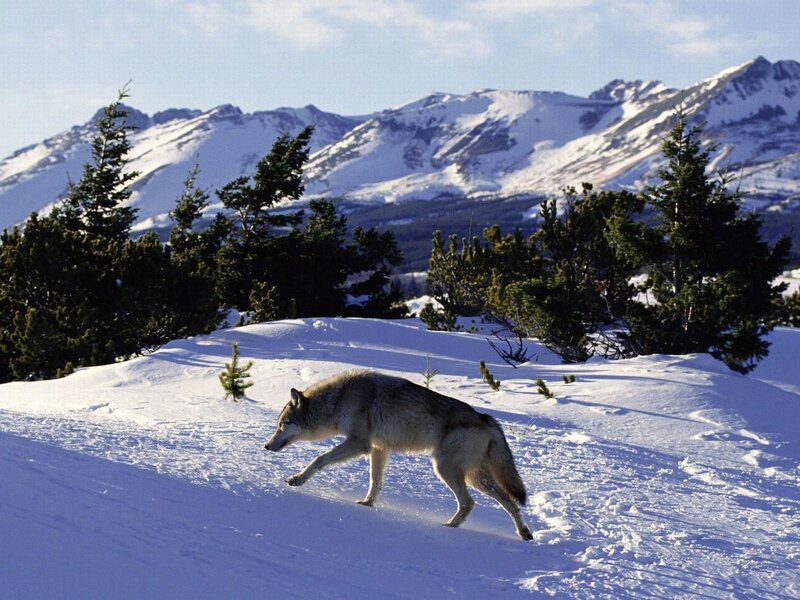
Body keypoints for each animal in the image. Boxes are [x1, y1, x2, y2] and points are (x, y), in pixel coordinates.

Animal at [264, 370, 533, 540]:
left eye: (282, 425)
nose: (266, 446)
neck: (340, 399)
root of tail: (487, 419)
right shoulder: (378, 449)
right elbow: (375, 482)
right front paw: (367, 504)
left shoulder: (359, 443)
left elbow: (319, 459)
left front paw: (297, 479)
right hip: (475, 478)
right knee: (510, 502)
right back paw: (524, 534)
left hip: (446, 469)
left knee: (469, 502)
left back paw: (448, 527)